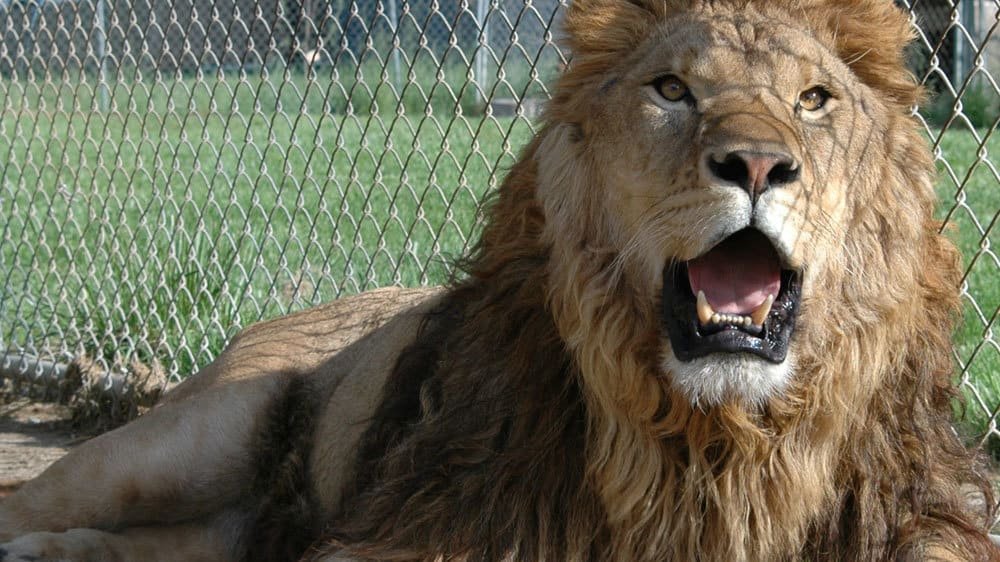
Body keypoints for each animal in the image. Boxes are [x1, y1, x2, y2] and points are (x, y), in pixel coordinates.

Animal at [0, 0, 997, 560]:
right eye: (673, 91)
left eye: (813, 101)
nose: (756, 164)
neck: (715, 439)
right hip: (189, 440)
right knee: (34, 501)